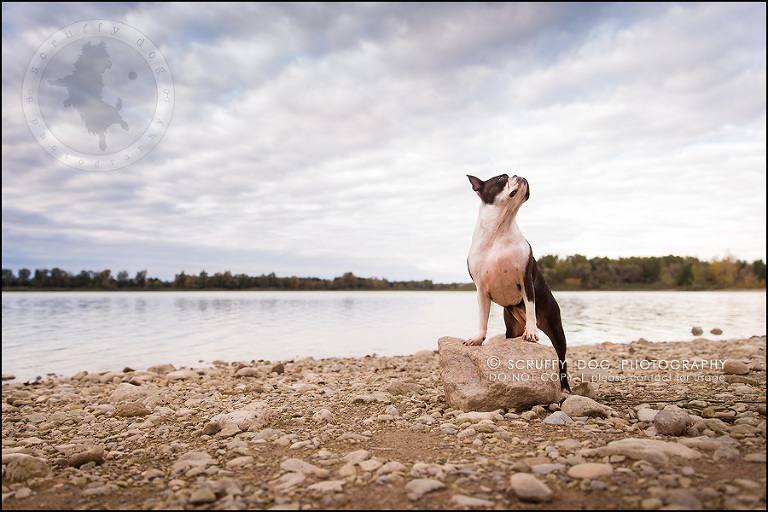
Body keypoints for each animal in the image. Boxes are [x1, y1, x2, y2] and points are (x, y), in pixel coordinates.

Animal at [462, 175, 568, 392]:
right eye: (502, 177)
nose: (520, 176)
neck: (499, 230)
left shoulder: (526, 281)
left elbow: (530, 307)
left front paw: (532, 332)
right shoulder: (481, 290)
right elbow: (482, 318)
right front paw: (477, 338)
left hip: (556, 328)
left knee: (562, 358)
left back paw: (565, 387)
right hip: (512, 329)